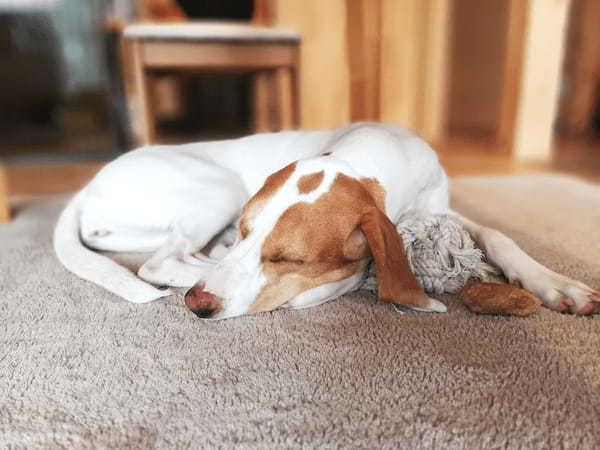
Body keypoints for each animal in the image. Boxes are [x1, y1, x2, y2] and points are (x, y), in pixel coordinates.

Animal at [54, 123, 596, 318]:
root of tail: (84, 189)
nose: (197, 304)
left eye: (289, 257)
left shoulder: (441, 209)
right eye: (247, 230)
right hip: (217, 184)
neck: (367, 155)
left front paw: (556, 284)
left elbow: (500, 237)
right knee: (160, 263)